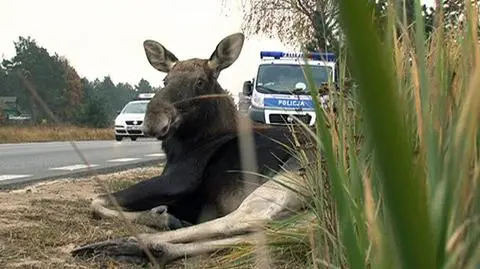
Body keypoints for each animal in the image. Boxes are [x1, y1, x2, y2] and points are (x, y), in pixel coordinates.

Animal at [69, 32, 314, 264]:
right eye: (165, 80)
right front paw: (164, 216)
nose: (152, 119)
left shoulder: (176, 181)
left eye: (200, 82)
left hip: (293, 172)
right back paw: (152, 249)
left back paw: (126, 243)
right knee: (289, 229)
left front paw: (161, 217)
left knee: (250, 218)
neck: (180, 148)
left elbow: (97, 201)